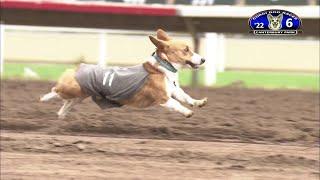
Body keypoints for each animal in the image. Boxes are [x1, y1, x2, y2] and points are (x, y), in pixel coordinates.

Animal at [40, 29, 209, 119]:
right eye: (186, 49)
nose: (203, 59)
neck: (163, 67)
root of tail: (76, 68)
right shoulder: (163, 98)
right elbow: (176, 104)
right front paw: (187, 112)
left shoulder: (174, 90)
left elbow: (186, 97)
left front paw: (199, 102)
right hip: (72, 89)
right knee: (56, 90)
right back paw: (44, 98)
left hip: (79, 96)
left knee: (65, 104)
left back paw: (61, 115)